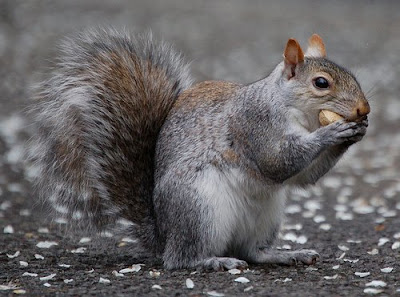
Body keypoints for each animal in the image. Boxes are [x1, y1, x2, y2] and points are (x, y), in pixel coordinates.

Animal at [29, 28, 370, 270]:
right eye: (321, 83)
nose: (364, 108)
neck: (293, 110)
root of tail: (164, 235)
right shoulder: (253, 124)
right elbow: (276, 162)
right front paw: (333, 132)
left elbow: (303, 177)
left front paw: (355, 133)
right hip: (198, 207)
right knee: (181, 259)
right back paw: (213, 260)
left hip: (266, 216)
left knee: (252, 252)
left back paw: (285, 255)